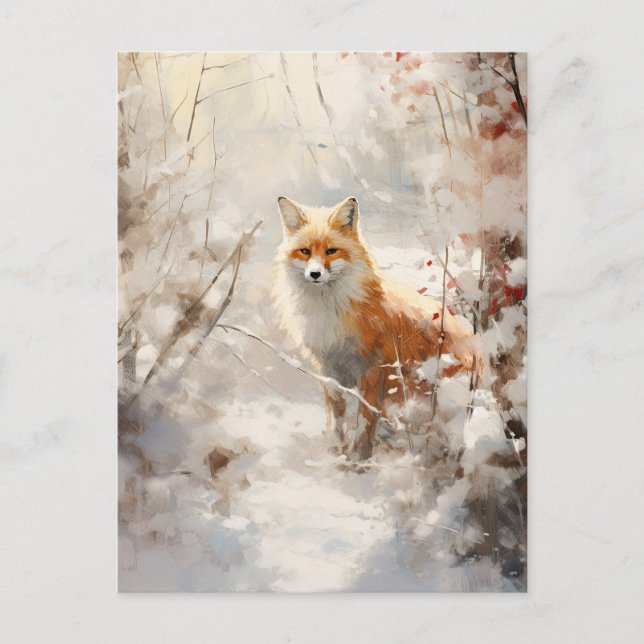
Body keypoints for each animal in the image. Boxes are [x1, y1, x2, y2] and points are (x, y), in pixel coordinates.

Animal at [273, 195, 480, 459]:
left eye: (331, 251)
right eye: (305, 252)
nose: (315, 273)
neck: (331, 308)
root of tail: (476, 346)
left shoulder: (372, 369)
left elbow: (364, 419)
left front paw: (358, 457)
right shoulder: (329, 369)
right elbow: (336, 418)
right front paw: (335, 451)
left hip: (443, 400)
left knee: (455, 443)